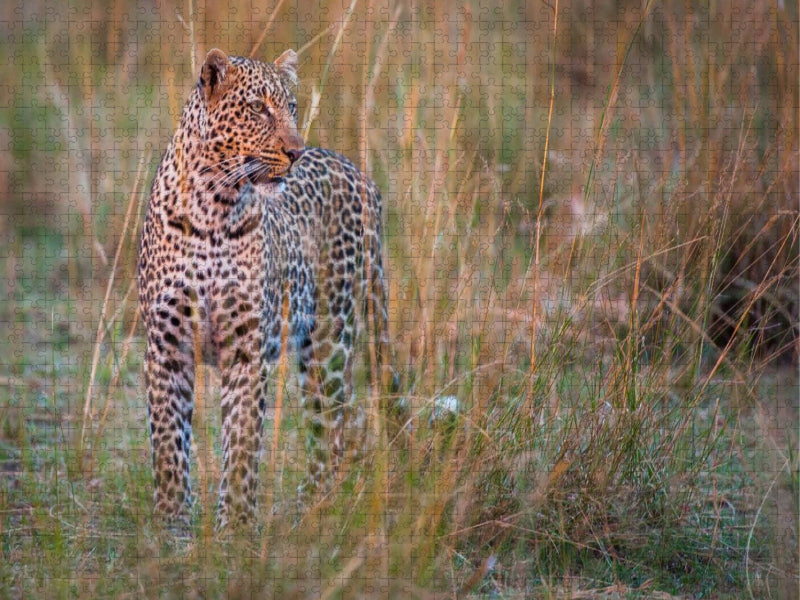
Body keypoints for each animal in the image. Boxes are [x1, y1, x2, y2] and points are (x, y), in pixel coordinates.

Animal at [137, 48, 395, 529]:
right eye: (258, 107)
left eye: (292, 107)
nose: (295, 151)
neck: (212, 210)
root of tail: (359, 173)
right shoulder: (166, 345)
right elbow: (167, 444)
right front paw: (171, 523)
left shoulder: (247, 347)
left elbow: (241, 443)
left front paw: (235, 526)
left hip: (329, 339)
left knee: (334, 429)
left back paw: (313, 511)